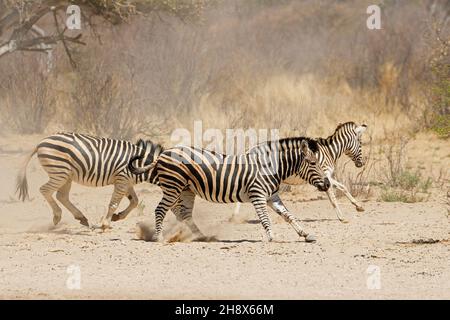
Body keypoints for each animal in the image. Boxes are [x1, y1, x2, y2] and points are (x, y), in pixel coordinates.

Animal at [15, 132, 163, 230]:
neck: (140, 164)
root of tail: (40, 142)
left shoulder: (126, 182)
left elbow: (135, 201)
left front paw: (117, 217)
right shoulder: (122, 179)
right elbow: (113, 204)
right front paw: (106, 224)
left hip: (66, 176)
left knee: (62, 196)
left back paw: (82, 218)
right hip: (60, 172)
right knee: (45, 190)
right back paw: (57, 216)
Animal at [128, 136, 332, 242]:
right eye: (313, 163)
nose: (328, 184)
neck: (270, 167)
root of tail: (163, 153)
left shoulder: (272, 197)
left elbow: (289, 215)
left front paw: (305, 234)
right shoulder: (258, 195)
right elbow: (265, 218)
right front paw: (271, 237)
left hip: (185, 189)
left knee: (183, 213)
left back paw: (202, 236)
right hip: (173, 185)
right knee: (161, 209)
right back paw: (159, 237)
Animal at [232, 122, 366, 222]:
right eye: (360, 143)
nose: (362, 164)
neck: (329, 151)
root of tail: (249, 150)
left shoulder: (325, 177)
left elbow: (342, 188)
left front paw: (358, 206)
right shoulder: (325, 174)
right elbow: (334, 195)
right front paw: (342, 217)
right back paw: (235, 216)